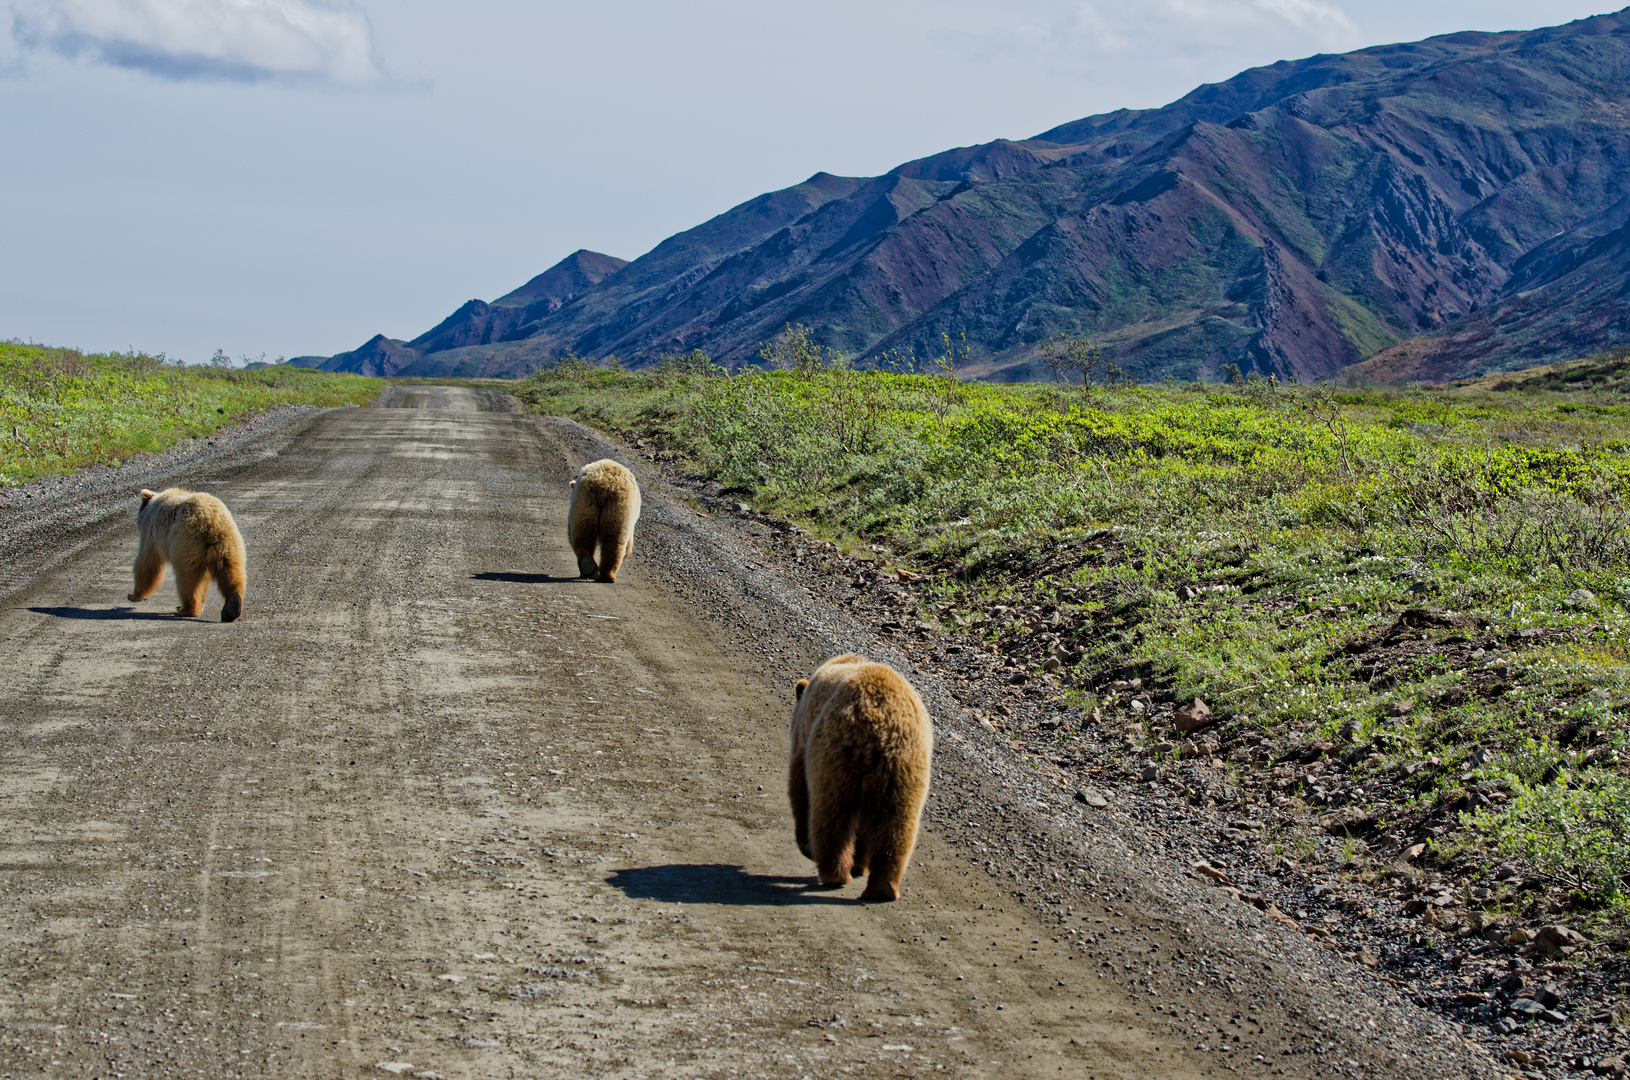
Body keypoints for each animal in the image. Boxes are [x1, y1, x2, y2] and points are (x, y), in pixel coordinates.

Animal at [128, 485, 247, 622]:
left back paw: (187, 608)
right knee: (230, 570)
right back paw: (231, 608)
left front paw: (134, 595)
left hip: (186, 542)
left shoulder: (151, 535)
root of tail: (210, 519)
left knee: (188, 578)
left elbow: (147, 563)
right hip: (227, 542)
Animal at [792, 654, 938, 899]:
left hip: (837, 755)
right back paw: (883, 887)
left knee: (831, 813)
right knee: (897, 826)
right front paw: (860, 864)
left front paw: (805, 843)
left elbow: (799, 785)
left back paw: (834, 874)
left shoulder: (805, 736)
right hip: (906, 771)